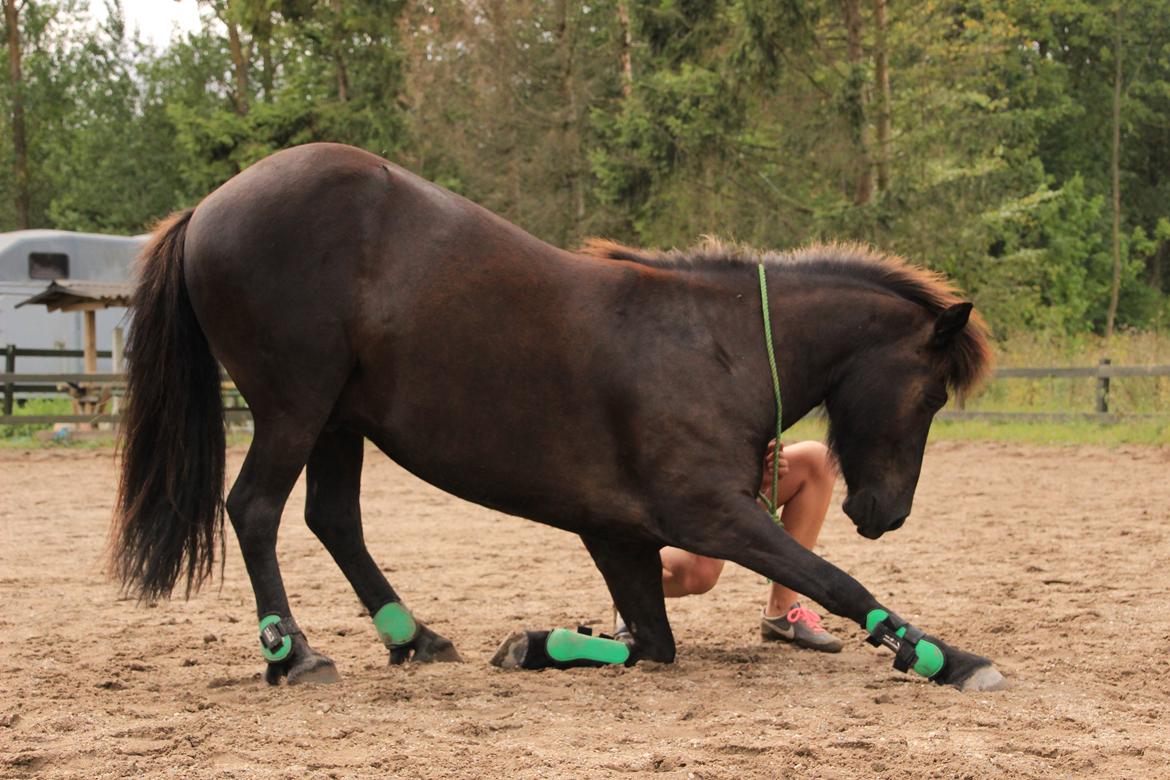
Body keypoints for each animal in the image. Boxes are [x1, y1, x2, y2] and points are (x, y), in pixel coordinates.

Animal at [114, 140, 1001, 687]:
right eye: (930, 395)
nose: (887, 513)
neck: (717, 345)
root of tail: (209, 207)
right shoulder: (712, 515)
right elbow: (835, 578)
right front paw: (943, 657)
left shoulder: (620, 535)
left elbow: (653, 644)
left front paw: (536, 644)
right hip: (294, 406)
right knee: (255, 509)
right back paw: (293, 654)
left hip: (338, 419)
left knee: (333, 520)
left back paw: (414, 639)